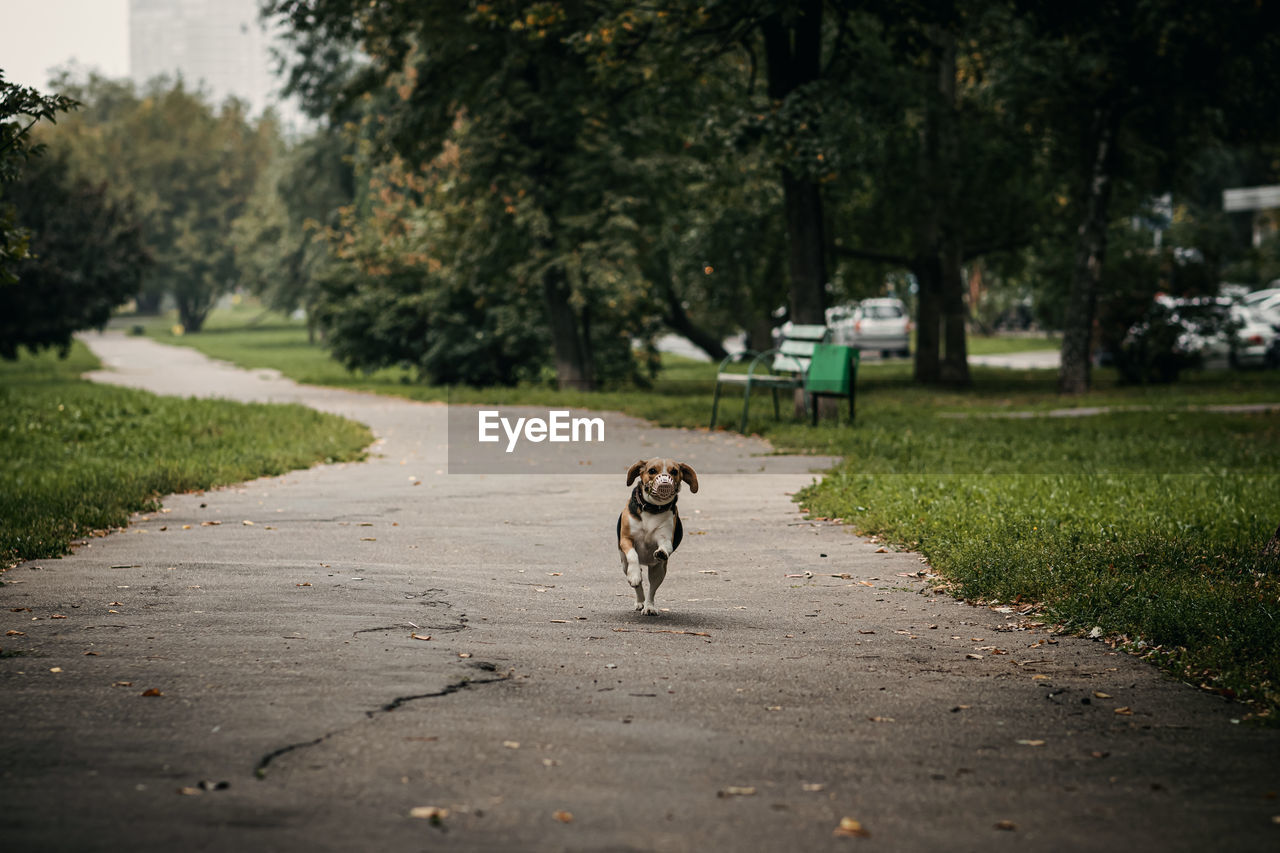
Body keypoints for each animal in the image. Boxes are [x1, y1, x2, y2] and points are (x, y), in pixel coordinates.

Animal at [619, 458, 701, 612]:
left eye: (674, 471)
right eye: (652, 471)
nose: (665, 482)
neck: (652, 509)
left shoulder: (666, 538)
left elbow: (665, 546)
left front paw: (662, 552)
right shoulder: (626, 539)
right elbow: (633, 554)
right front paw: (634, 575)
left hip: (659, 571)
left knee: (652, 589)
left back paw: (649, 607)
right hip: (624, 565)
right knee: (638, 584)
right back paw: (640, 600)